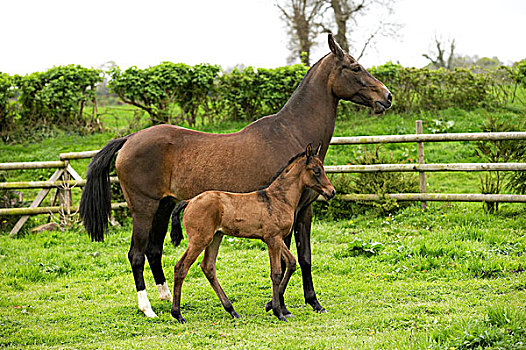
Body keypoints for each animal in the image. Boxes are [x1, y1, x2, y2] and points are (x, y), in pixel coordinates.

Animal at [171, 144, 336, 322]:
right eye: (316, 171)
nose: (332, 191)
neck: (279, 199)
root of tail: (190, 201)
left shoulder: (277, 238)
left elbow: (291, 263)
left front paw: (271, 305)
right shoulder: (272, 239)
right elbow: (276, 272)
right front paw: (278, 312)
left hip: (216, 237)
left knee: (208, 267)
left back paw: (232, 310)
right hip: (199, 240)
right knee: (181, 267)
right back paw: (178, 314)